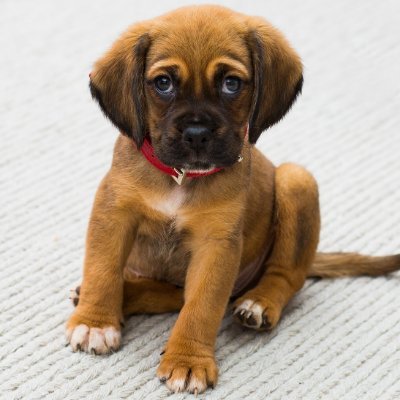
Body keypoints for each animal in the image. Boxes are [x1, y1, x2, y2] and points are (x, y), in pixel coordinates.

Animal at [66, 4, 400, 396]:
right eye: (163, 83)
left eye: (231, 84)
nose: (197, 134)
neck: (181, 178)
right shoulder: (114, 214)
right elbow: (102, 270)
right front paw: (95, 321)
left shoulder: (216, 245)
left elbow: (201, 307)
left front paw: (188, 361)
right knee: (169, 294)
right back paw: (121, 296)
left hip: (296, 180)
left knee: (287, 276)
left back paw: (260, 303)